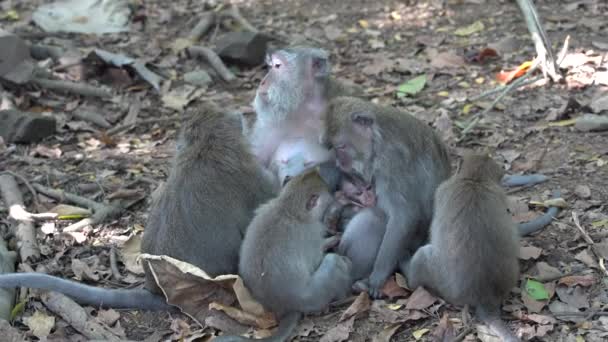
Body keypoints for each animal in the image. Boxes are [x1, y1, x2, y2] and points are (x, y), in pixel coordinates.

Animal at [216, 170, 354, 340]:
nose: (335, 198)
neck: (288, 208)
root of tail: (285, 307)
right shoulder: (312, 233)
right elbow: (317, 256)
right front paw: (332, 239)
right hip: (316, 294)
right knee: (333, 262)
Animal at [324, 97, 452, 300]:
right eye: (332, 148)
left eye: (341, 147)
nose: (339, 163)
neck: (379, 140)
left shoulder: (392, 163)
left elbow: (404, 216)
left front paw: (378, 277)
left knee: (374, 219)